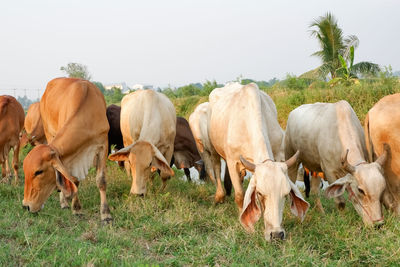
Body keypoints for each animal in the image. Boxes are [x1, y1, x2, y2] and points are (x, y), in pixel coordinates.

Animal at [22, 77, 111, 224]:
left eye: (38, 172)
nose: (26, 206)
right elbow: (74, 180)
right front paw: (76, 209)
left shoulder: (103, 144)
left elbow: (101, 180)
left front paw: (106, 214)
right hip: (49, 132)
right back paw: (63, 202)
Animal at [208, 82, 308, 242]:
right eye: (260, 193)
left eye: (286, 194)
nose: (277, 234)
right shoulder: (232, 161)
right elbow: (240, 195)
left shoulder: (278, 153)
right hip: (213, 148)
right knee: (217, 168)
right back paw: (219, 196)